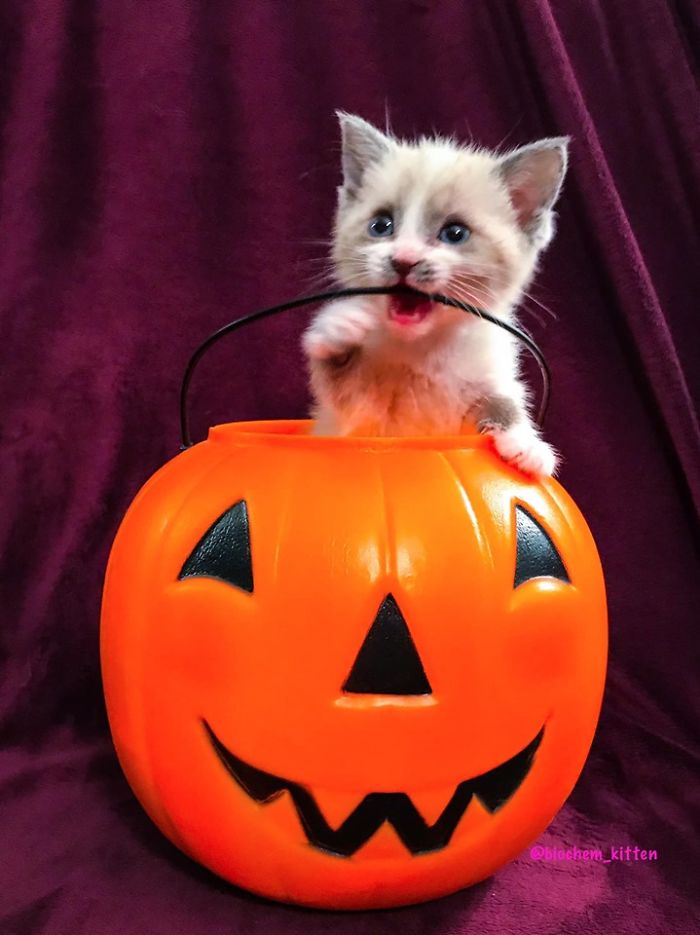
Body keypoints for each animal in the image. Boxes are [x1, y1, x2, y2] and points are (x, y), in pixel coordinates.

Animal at [302, 111, 568, 476]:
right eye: (381, 226)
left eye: (455, 233)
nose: (404, 260)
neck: (423, 348)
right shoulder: (358, 416)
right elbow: (341, 385)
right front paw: (339, 326)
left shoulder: (486, 377)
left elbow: (504, 399)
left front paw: (527, 444)